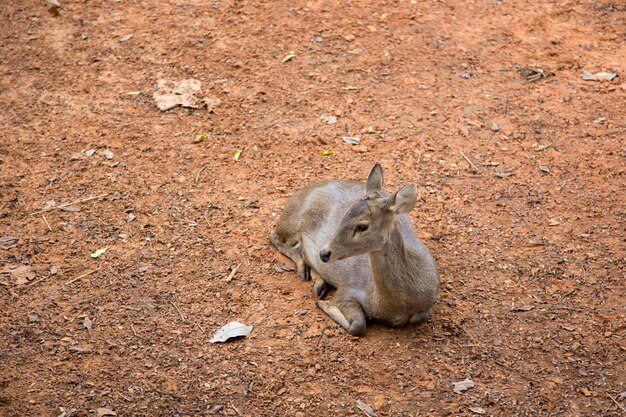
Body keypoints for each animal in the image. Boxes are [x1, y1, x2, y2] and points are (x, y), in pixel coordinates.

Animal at [270, 162, 438, 334]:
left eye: (362, 226)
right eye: (345, 215)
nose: (324, 253)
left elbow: (419, 317)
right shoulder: (348, 288)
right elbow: (358, 324)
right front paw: (325, 304)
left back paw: (318, 284)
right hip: (292, 222)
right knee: (274, 236)